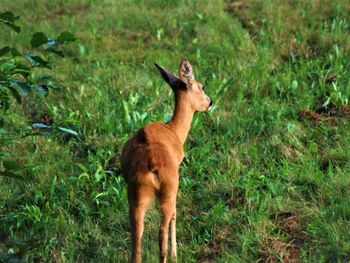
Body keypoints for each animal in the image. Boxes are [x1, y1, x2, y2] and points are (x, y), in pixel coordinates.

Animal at [120, 59, 213, 263]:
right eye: (201, 86)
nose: (210, 102)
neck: (174, 131)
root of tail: (152, 165)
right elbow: (175, 216)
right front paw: (175, 254)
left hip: (136, 196)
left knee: (136, 241)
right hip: (168, 191)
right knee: (163, 229)